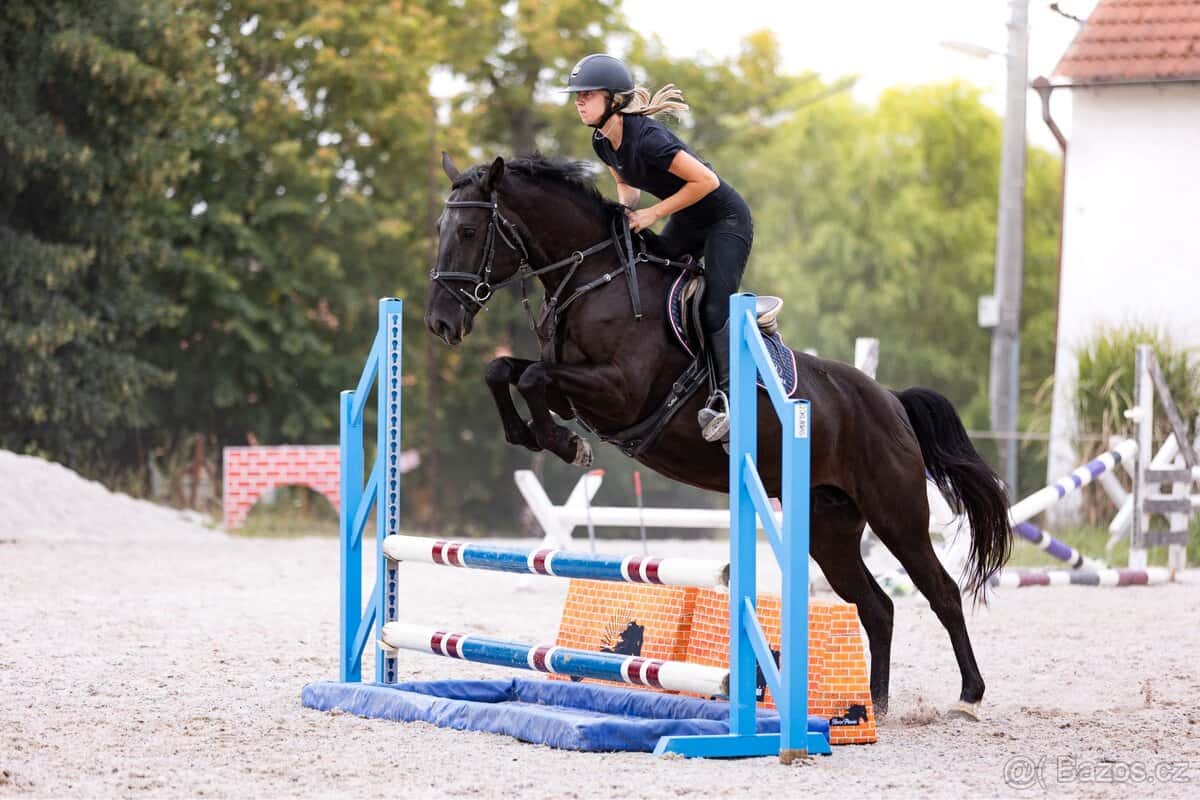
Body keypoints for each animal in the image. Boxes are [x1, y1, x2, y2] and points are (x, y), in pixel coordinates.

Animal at [424, 152, 1011, 720]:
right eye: (440, 228)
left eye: (470, 231)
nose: (439, 324)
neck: (595, 278)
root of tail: (890, 401)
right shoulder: (574, 391)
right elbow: (504, 371)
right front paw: (532, 435)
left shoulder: (617, 393)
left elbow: (529, 378)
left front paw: (566, 444)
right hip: (829, 527)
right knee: (875, 605)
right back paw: (878, 705)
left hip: (896, 513)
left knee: (940, 591)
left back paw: (968, 697)